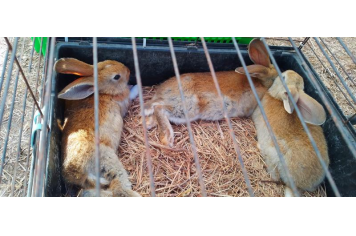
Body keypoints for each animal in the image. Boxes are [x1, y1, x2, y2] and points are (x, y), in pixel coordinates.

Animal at [54, 57, 140, 197]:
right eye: (116, 77)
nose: (128, 70)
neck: (103, 92)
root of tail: (77, 172)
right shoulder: (124, 99)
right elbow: (131, 93)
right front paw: (137, 86)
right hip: (108, 162)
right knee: (118, 188)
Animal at [144, 37, 278, 147]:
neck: (261, 82)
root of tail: (159, 95)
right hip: (187, 108)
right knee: (159, 109)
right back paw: (167, 138)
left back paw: (148, 124)